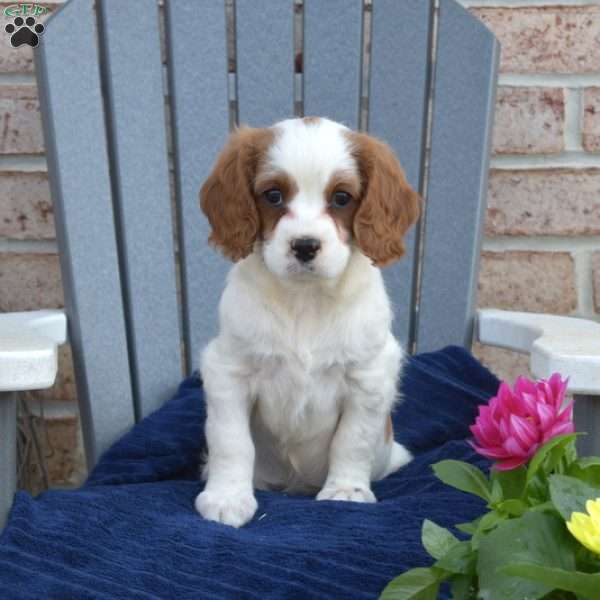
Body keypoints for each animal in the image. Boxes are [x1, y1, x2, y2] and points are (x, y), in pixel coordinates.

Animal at [195, 116, 420, 524]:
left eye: (342, 198)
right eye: (273, 195)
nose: (304, 245)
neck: (305, 300)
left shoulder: (369, 377)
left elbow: (353, 439)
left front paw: (346, 491)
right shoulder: (229, 370)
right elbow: (231, 440)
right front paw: (227, 498)